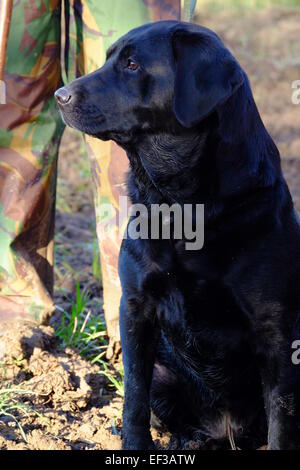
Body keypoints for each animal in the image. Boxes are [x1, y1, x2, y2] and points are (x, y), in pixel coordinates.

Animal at [55, 20, 300, 450]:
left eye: (132, 64)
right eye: (110, 60)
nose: (59, 95)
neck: (178, 204)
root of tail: (226, 430)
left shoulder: (276, 327)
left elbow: (280, 419)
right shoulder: (135, 307)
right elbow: (134, 396)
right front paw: (135, 446)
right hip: (164, 372)